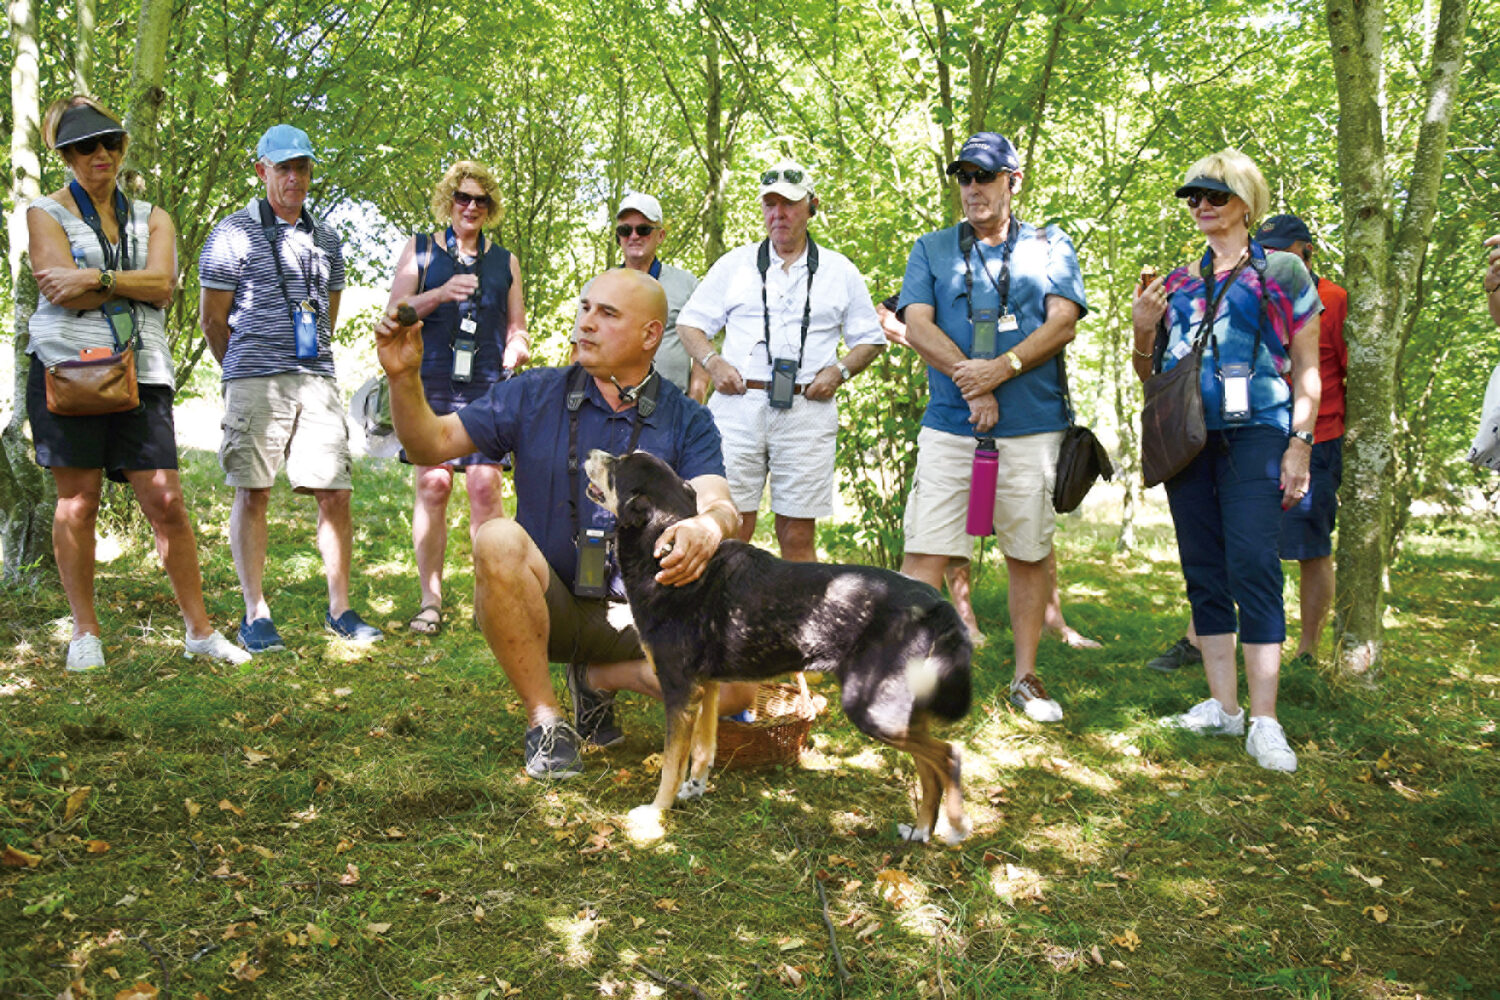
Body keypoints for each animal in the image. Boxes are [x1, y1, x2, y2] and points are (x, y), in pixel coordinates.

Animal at [579, 449, 978, 839]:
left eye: (616, 466)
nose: (590, 453)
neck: (662, 549)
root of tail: (933, 602)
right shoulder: (706, 687)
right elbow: (703, 749)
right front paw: (694, 788)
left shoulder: (679, 691)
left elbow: (671, 763)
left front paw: (657, 813)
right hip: (899, 708)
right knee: (928, 768)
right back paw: (921, 830)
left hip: (871, 708)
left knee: (948, 756)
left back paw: (955, 825)